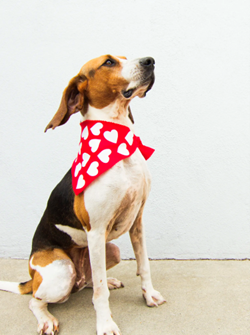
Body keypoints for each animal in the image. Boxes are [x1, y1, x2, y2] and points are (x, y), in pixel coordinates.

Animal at [0, 55, 165, 335]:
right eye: (109, 62)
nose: (149, 60)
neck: (118, 141)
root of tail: (32, 277)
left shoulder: (137, 221)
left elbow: (143, 265)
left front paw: (149, 295)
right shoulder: (96, 231)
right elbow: (100, 295)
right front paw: (106, 324)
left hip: (109, 251)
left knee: (90, 280)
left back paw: (106, 281)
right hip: (61, 271)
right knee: (36, 299)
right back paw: (46, 319)